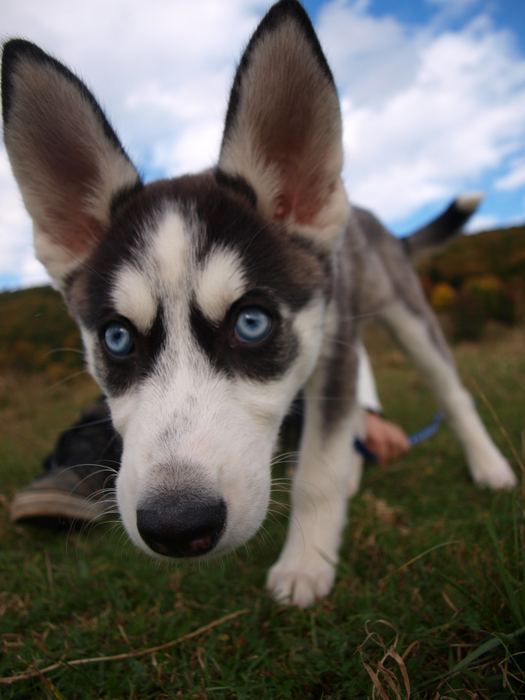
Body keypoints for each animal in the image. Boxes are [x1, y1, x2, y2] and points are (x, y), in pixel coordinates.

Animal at [2, 0, 512, 608]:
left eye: (251, 323)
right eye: (117, 337)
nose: (177, 524)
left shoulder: (333, 344)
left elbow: (319, 465)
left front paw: (306, 562)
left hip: (405, 314)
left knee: (450, 394)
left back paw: (488, 465)